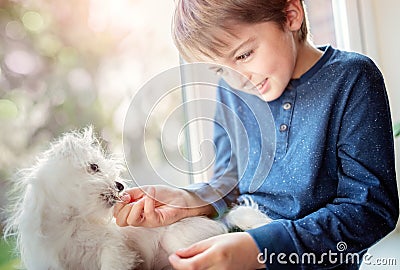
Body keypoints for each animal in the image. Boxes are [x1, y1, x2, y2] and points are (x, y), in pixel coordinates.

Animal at [3, 127, 272, 268]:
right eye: (94, 167)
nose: (120, 185)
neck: (72, 223)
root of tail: (221, 225)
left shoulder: (114, 250)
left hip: (179, 239)